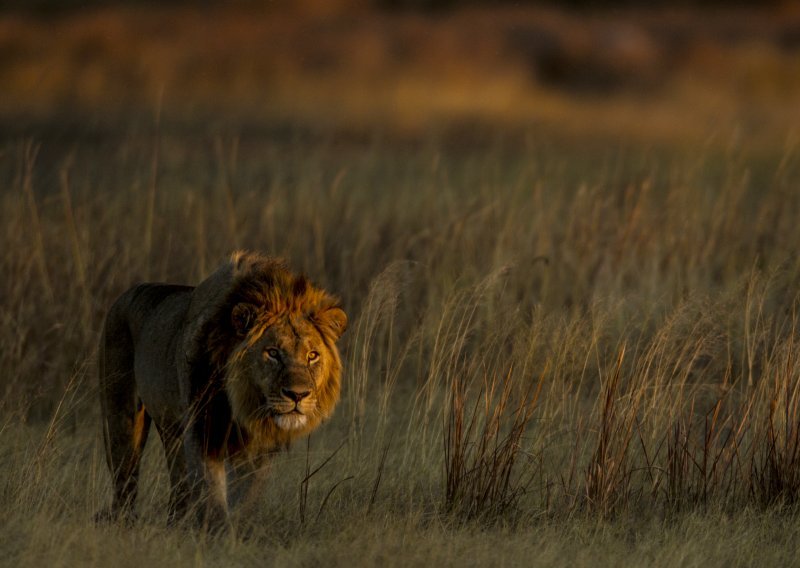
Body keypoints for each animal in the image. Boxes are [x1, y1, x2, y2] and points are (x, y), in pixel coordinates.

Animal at [95, 251, 346, 524]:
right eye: (273, 353)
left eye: (312, 355)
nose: (298, 394)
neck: (243, 404)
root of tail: (126, 294)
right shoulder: (203, 429)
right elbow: (212, 497)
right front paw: (217, 529)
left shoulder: (258, 449)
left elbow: (246, 498)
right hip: (123, 419)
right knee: (126, 480)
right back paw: (124, 520)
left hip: (171, 427)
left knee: (178, 480)